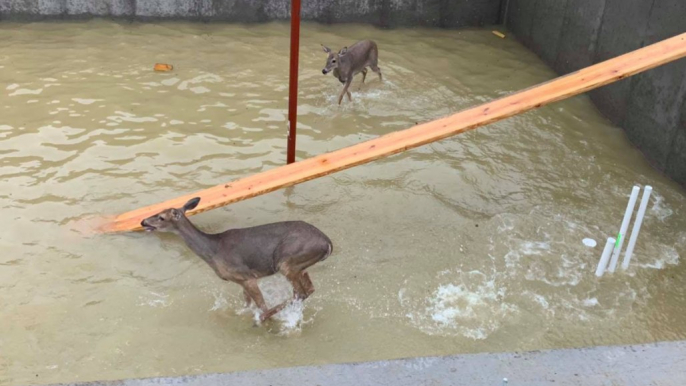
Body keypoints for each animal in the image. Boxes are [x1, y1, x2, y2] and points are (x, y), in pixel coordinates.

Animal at [141, 198, 334, 324]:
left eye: (161, 217)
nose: (143, 221)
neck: (213, 251)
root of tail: (328, 243)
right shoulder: (241, 281)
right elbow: (246, 304)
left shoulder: (246, 276)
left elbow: (260, 305)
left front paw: (259, 318)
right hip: (300, 266)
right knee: (307, 289)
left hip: (287, 262)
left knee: (300, 292)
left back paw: (263, 319)